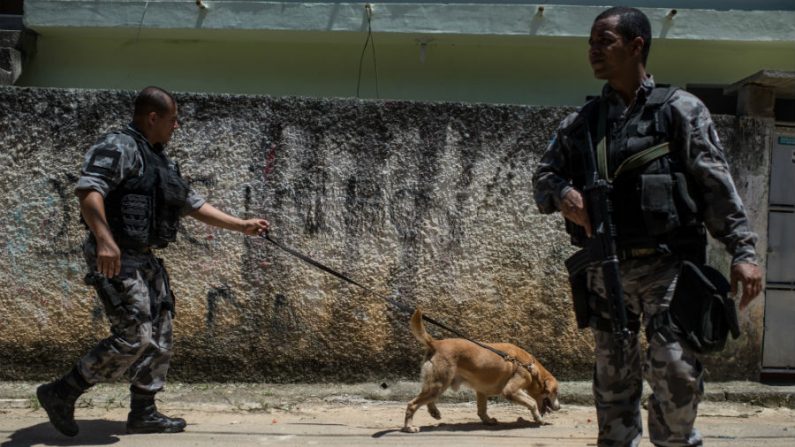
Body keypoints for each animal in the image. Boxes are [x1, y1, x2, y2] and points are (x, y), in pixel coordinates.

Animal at [404, 310, 560, 432]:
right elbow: (532, 403)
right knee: (413, 404)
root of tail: (436, 343)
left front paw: (487, 420)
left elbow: (482, 409)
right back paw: (409, 427)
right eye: (555, 392)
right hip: (440, 383)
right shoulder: (511, 390)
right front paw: (538, 419)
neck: (529, 366)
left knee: (427, 398)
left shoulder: (482, 391)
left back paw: (433, 411)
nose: (559, 407)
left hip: (437, 384)